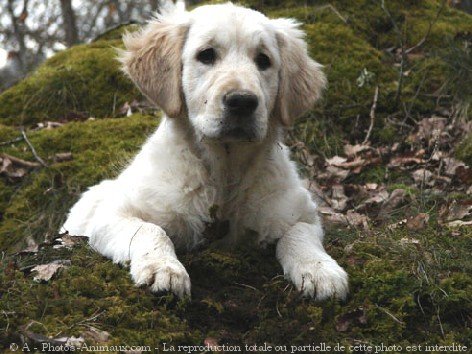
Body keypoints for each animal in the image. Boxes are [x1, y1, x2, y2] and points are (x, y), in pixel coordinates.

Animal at [61, 1, 346, 302]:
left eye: (264, 60)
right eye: (206, 55)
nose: (242, 102)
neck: (223, 172)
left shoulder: (299, 211)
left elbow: (299, 233)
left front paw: (320, 270)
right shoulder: (113, 214)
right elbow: (150, 229)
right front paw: (164, 268)